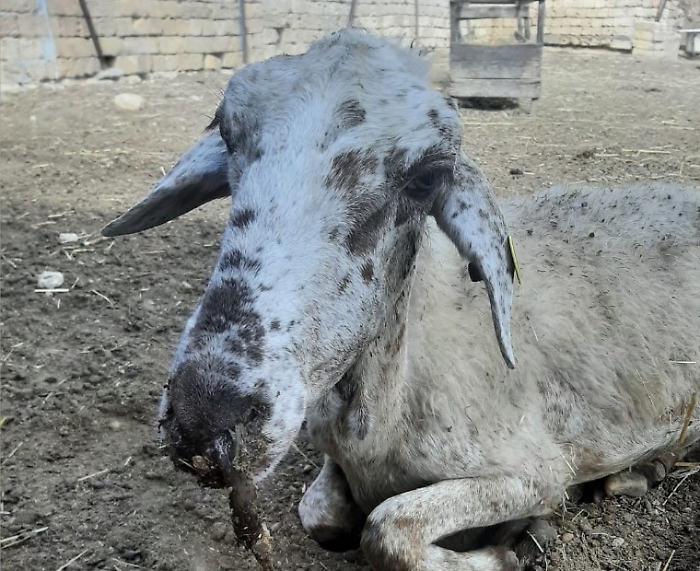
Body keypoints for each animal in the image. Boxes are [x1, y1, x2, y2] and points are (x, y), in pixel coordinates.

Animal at [102, 29, 700, 571]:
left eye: (427, 177)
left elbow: (386, 528)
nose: (202, 423)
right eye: (225, 132)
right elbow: (321, 515)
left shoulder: (536, 470)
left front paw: (515, 545)